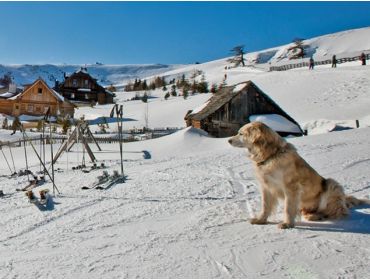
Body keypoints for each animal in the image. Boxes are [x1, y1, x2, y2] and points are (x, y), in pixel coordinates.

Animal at [227, 121, 368, 229]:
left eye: (241, 133)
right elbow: (265, 206)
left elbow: (288, 208)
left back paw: (319, 215)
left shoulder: (291, 188)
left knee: (336, 212)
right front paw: (261, 220)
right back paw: (312, 215)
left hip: (331, 183)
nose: (228, 140)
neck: (271, 155)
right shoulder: (266, 187)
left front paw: (287, 224)